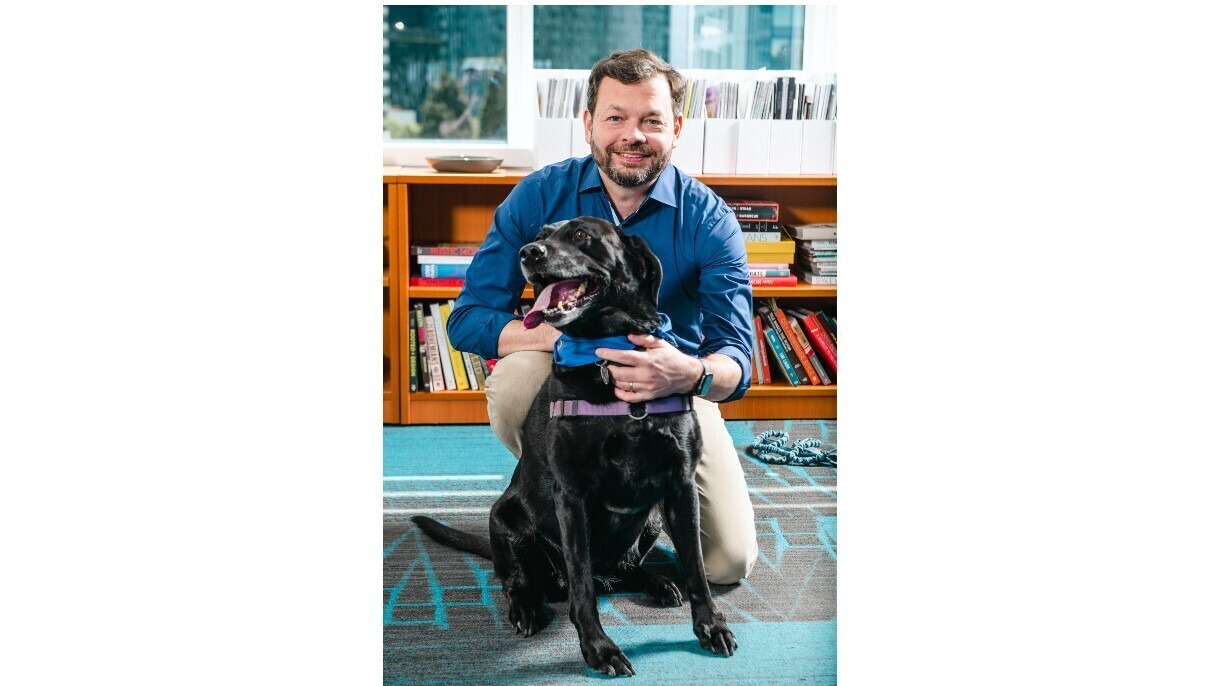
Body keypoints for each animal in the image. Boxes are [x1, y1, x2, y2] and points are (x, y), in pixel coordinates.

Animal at [412, 214, 732, 673]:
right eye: (540, 236)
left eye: (581, 235)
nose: (527, 252)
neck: (608, 357)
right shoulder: (573, 495)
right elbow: (582, 587)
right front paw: (599, 648)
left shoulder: (680, 484)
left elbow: (697, 568)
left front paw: (711, 625)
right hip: (505, 522)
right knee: (523, 581)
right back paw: (527, 608)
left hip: (652, 519)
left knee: (623, 568)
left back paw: (655, 581)